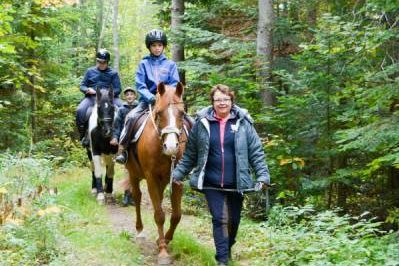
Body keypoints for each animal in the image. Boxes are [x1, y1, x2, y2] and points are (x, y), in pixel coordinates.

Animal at [126, 82, 192, 264]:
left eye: (182, 113)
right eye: (159, 113)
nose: (171, 146)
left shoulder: (176, 180)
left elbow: (176, 215)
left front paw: (165, 240)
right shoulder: (151, 178)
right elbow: (159, 215)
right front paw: (163, 251)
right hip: (133, 174)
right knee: (137, 197)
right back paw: (140, 230)